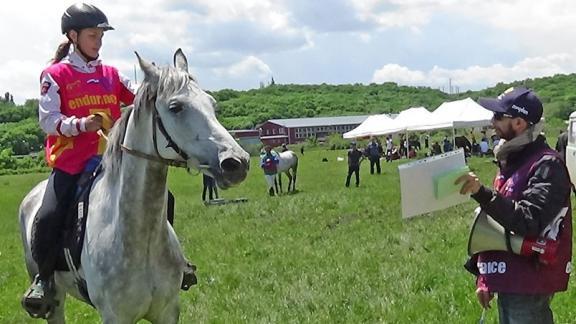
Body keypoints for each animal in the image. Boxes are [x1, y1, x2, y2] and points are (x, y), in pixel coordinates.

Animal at [19, 49, 250, 322]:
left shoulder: (167, 311)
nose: (236, 162)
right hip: (55, 299)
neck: (139, 239)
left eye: (212, 104)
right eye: (176, 107)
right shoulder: (115, 316)